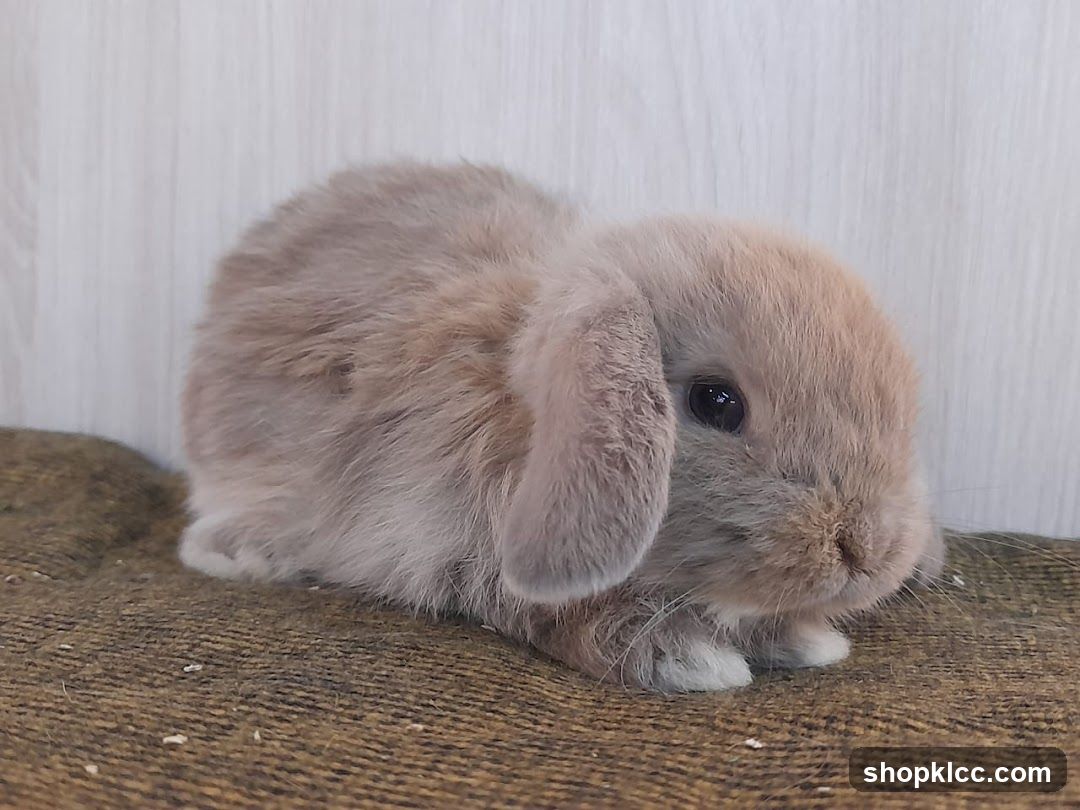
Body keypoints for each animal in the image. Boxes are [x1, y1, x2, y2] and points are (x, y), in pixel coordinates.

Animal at [180, 161, 941, 692]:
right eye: (717, 402)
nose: (869, 550)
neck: (520, 416)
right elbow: (555, 612)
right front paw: (689, 659)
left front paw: (807, 640)